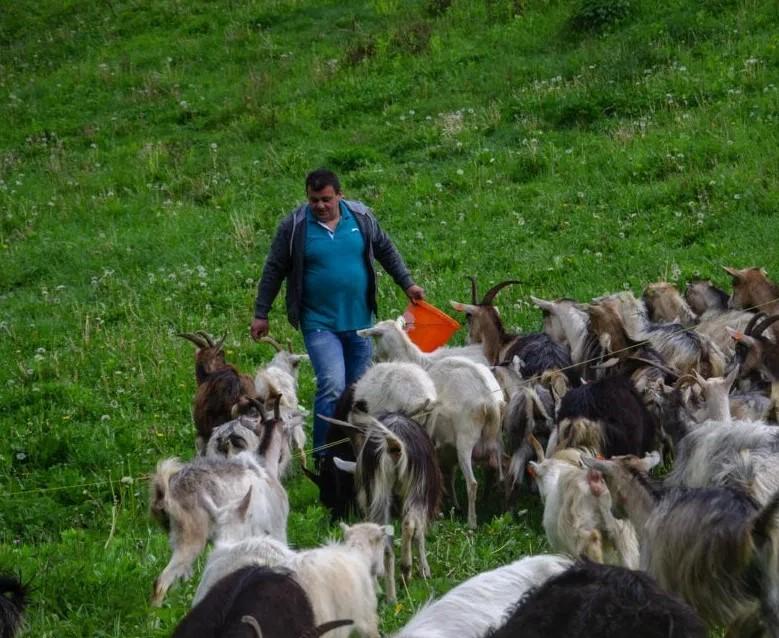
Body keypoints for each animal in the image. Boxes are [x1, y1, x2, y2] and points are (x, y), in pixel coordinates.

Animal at [360, 318, 506, 528]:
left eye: (375, 337)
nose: (373, 359)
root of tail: (491, 401)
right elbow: (448, 473)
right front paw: (452, 504)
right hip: (497, 437)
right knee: (499, 474)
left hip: (466, 438)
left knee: (472, 483)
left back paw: (471, 523)